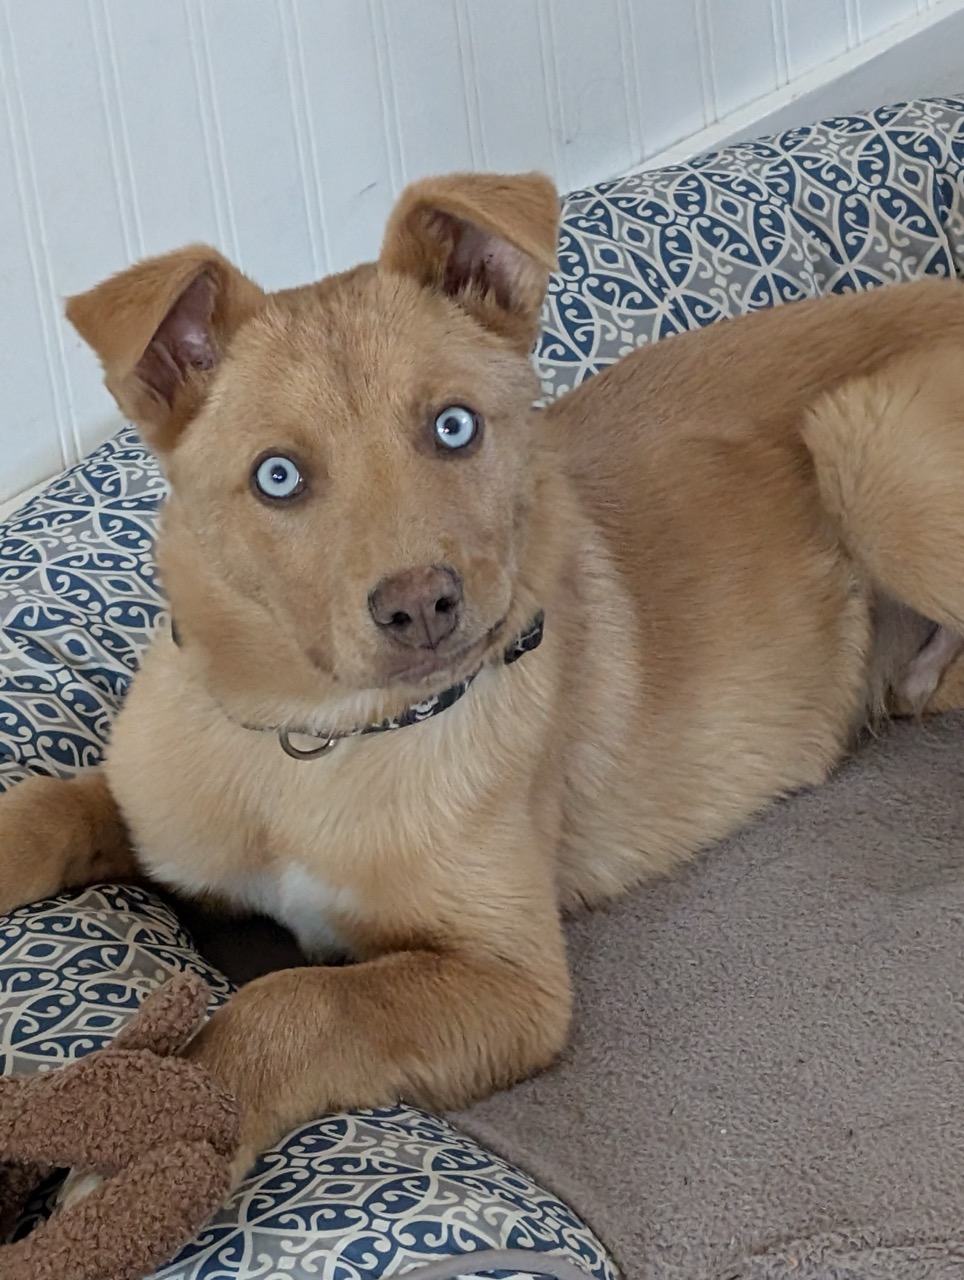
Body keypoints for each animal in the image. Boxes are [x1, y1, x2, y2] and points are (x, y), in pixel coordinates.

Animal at [1, 171, 963, 1183]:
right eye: (277, 477)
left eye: (454, 426)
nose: (422, 606)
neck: (323, 739)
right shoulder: (157, 813)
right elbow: (49, 807)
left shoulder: (512, 983)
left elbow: (299, 998)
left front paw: (154, 1136)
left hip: (872, 449)